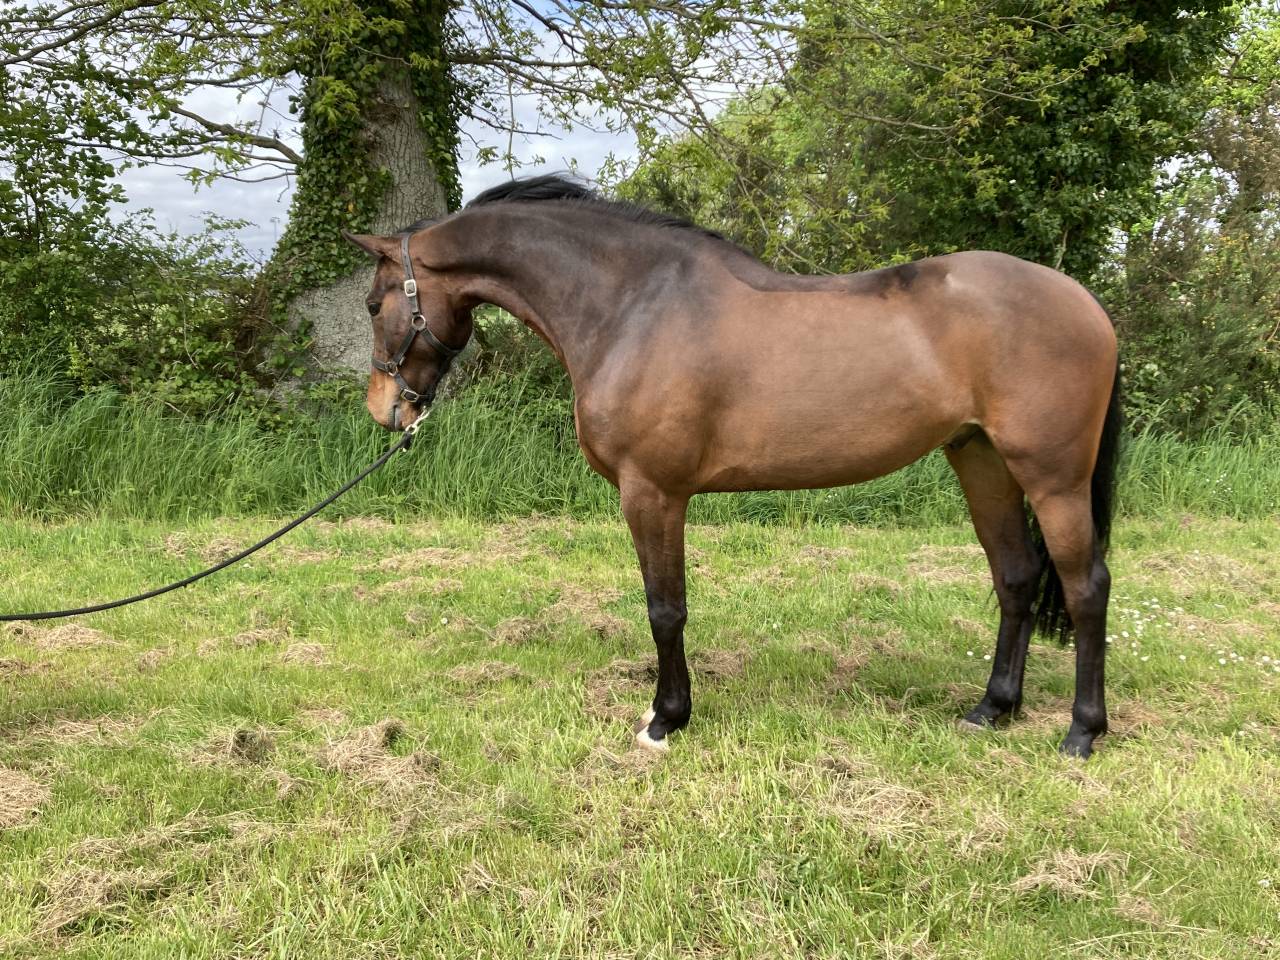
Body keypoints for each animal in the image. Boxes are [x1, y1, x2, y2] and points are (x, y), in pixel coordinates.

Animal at [344, 174, 1122, 759]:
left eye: (375, 303)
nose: (385, 410)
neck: (632, 305)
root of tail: (1085, 303)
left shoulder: (652, 492)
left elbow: (665, 609)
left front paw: (665, 720)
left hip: (1051, 477)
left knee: (1086, 586)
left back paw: (1082, 733)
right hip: (981, 460)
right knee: (1016, 577)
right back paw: (992, 709)